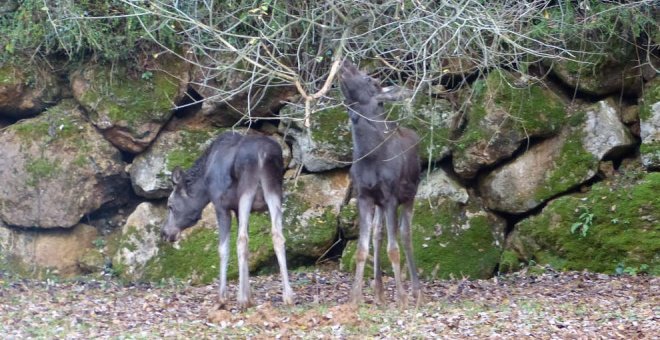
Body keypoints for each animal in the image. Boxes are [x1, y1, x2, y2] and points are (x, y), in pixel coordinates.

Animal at [161, 131, 292, 310]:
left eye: (170, 205)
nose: (165, 232)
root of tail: (263, 155)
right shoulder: (236, 210)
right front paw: (249, 295)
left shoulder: (221, 205)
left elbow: (223, 248)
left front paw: (223, 298)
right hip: (274, 190)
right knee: (278, 236)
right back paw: (288, 296)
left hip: (246, 190)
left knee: (242, 239)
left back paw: (242, 300)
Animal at [340, 59, 422, 306]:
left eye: (369, 79)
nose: (345, 62)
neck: (370, 156)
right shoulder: (364, 196)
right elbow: (361, 248)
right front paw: (355, 298)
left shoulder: (391, 197)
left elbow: (393, 249)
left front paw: (402, 298)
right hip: (379, 203)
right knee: (378, 234)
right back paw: (379, 292)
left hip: (410, 195)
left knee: (406, 234)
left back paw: (416, 291)